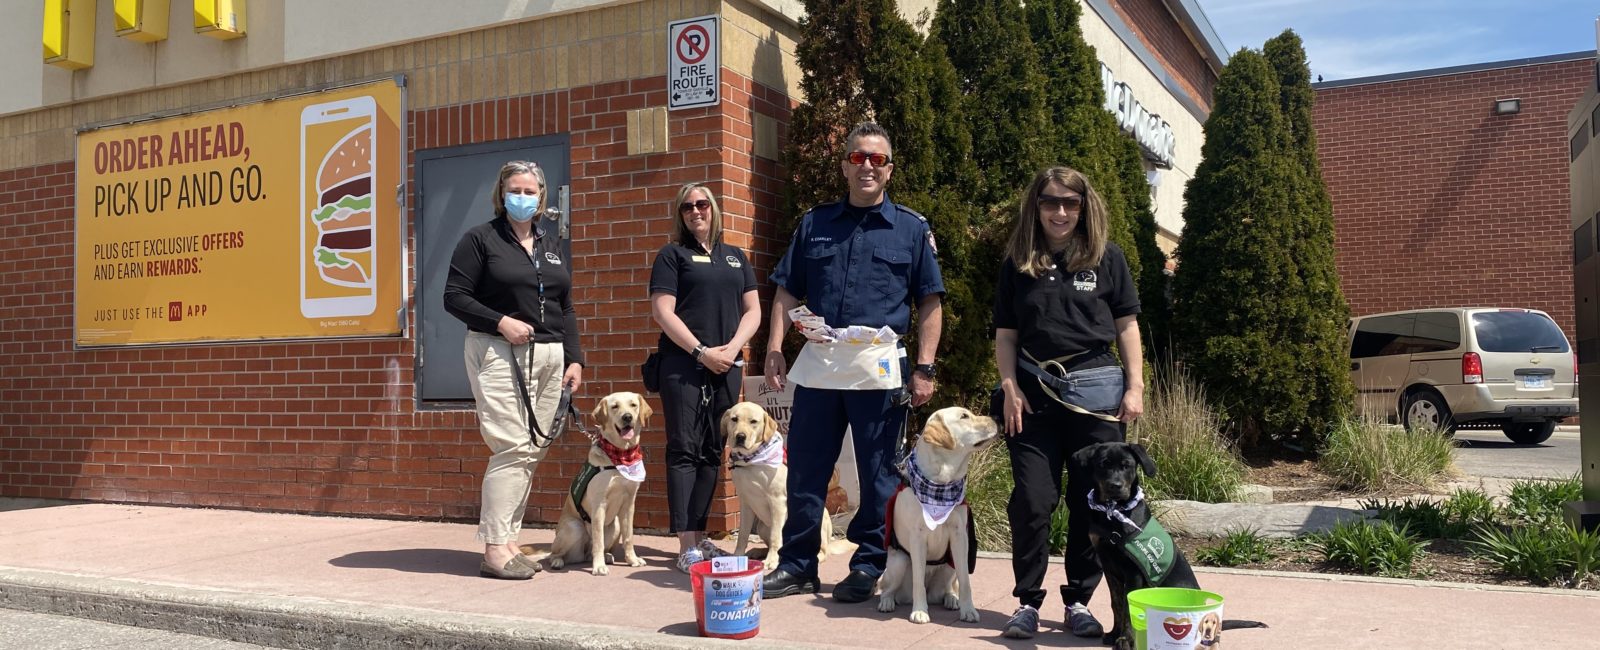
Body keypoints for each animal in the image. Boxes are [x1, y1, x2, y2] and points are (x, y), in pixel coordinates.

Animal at [544, 390, 649, 573]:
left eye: (633, 405)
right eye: (615, 406)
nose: (627, 417)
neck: (621, 455)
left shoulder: (629, 503)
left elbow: (629, 537)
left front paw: (632, 559)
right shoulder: (599, 504)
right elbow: (598, 540)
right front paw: (599, 567)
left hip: (615, 526)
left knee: (589, 553)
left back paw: (606, 557)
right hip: (574, 528)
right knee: (556, 553)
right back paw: (558, 561)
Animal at [726, 401, 851, 569]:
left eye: (753, 422)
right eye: (734, 419)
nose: (740, 436)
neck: (750, 463)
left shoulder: (777, 501)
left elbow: (775, 537)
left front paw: (771, 561)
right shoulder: (745, 503)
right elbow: (743, 534)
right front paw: (737, 557)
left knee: (822, 552)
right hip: (762, 526)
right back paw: (759, 551)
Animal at [876, 406, 998, 624]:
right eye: (964, 416)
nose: (996, 418)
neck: (941, 484)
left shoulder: (960, 537)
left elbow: (966, 581)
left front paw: (968, 610)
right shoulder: (917, 537)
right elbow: (918, 581)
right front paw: (920, 611)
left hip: (949, 565)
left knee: (948, 588)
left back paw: (952, 599)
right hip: (898, 563)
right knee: (888, 588)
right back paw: (887, 602)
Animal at [1075, 438, 1260, 646]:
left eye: (1127, 465)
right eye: (1103, 464)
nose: (1115, 486)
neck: (1114, 513)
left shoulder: (1133, 572)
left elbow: (1127, 609)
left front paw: (1124, 639)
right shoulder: (1109, 567)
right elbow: (1116, 603)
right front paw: (1114, 633)